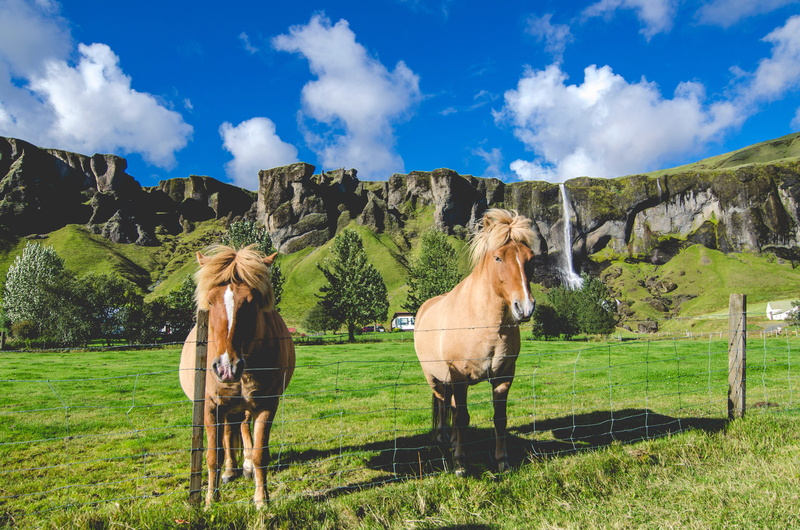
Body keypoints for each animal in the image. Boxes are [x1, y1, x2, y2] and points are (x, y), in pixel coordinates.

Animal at [179, 244, 295, 507]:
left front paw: (262, 500)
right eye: (210, 301)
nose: (226, 368)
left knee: (241, 428)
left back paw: (245, 466)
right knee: (228, 433)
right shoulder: (211, 407)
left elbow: (260, 453)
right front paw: (210, 501)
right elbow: (213, 456)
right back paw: (230, 471)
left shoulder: (266, 405)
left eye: (252, 302)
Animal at [414, 209, 536, 476]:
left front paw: (503, 461)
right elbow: (462, 418)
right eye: (498, 258)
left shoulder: (503, 378)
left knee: (449, 405)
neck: (483, 325)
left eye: (530, 259)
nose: (525, 307)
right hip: (435, 378)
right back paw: (443, 438)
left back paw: (451, 441)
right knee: (442, 404)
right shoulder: (459, 378)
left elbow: (499, 419)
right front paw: (461, 464)